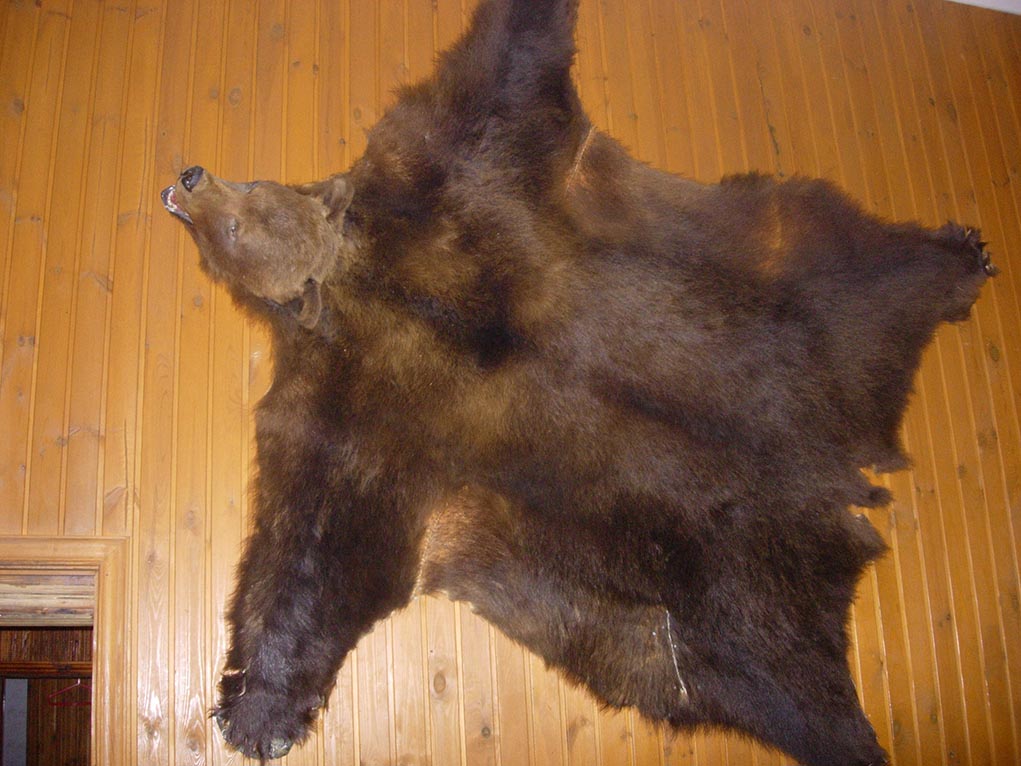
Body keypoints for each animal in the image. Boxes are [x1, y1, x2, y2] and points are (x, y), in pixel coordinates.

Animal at [160, 0, 995, 764]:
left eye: (237, 214)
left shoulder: (426, 240)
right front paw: (261, 711)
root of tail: (843, 480)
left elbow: (313, 545)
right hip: (798, 363)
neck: (358, 270)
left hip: (718, 539)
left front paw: (253, 711)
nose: (187, 178)